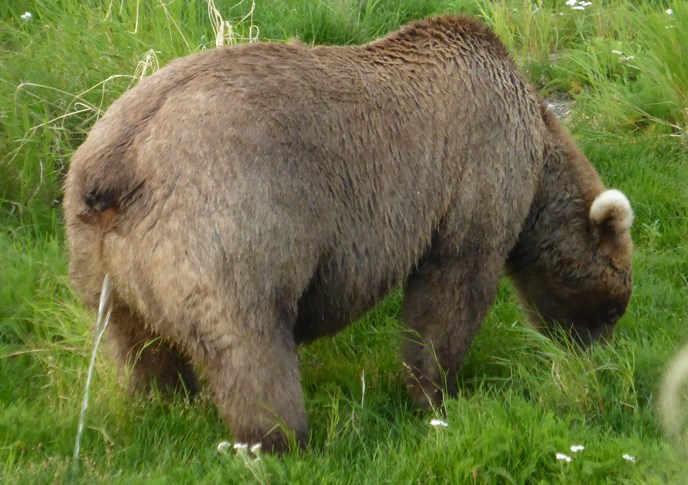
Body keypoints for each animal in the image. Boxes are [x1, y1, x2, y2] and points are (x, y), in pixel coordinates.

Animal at [64, 16, 636, 454]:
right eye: (614, 306)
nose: (599, 360)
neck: (538, 157)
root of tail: (117, 166)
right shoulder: (476, 174)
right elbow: (450, 291)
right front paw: (440, 393)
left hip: (102, 255)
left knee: (136, 343)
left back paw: (166, 404)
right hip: (230, 219)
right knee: (250, 343)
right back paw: (283, 440)